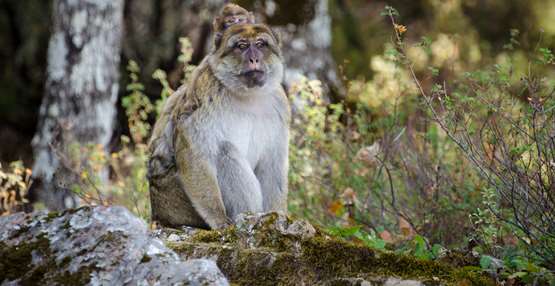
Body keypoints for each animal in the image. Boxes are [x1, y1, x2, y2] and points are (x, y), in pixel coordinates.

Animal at [147, 3, 292, 229]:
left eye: (261, 44)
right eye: (241, 46)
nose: (254, 58)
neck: (247, 94)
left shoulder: (279, 104)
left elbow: (273, 161)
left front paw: (277, 215)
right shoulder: (205, 93)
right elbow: (194, 150)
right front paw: (219, 219)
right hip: (177, 203)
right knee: (224, 151)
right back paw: (247, 215)